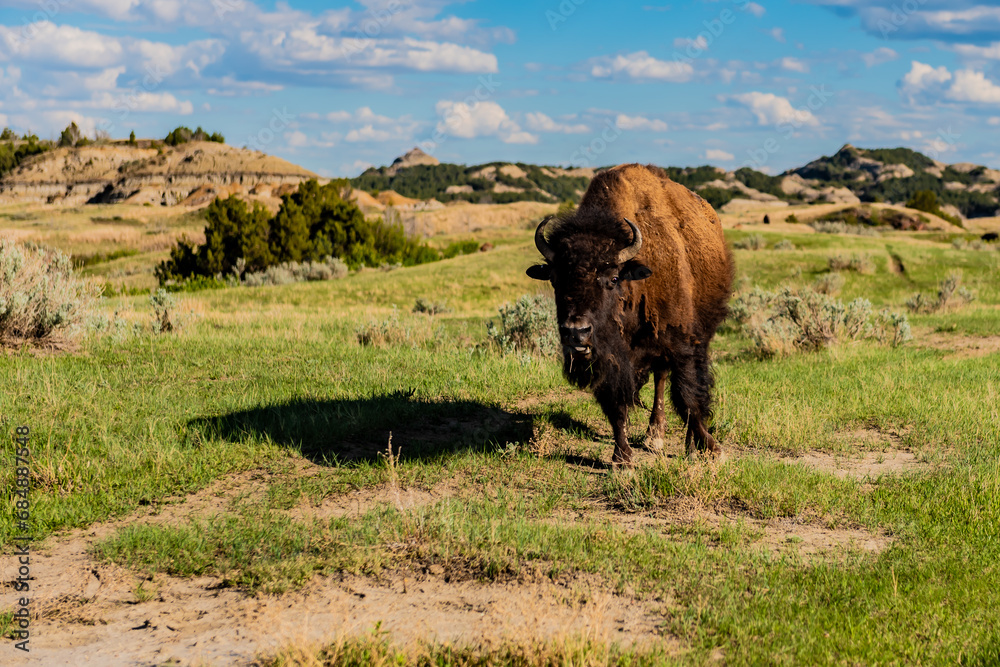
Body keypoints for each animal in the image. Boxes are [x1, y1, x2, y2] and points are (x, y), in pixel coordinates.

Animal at [532, 163, 736, 464]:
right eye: (555, 279)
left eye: (613, 278)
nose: (575, 332)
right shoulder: (611, 359)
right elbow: (616, 404)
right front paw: (622, 458)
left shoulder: (682, 342)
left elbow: (689, 395)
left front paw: (712, 449)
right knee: (660, 377)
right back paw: (655, 436)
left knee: (673, 381)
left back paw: (681, 444)